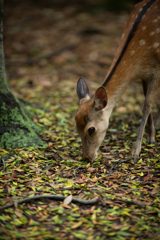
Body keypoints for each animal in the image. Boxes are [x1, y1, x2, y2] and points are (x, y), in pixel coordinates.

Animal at [75, 0, 160, 163]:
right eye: (76, 127)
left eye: (91, 129)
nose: (87, 157)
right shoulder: (145, 75)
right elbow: (147, 101)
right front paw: (151, 137)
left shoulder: (157, 72)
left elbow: (147, 105)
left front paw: (135, 153)